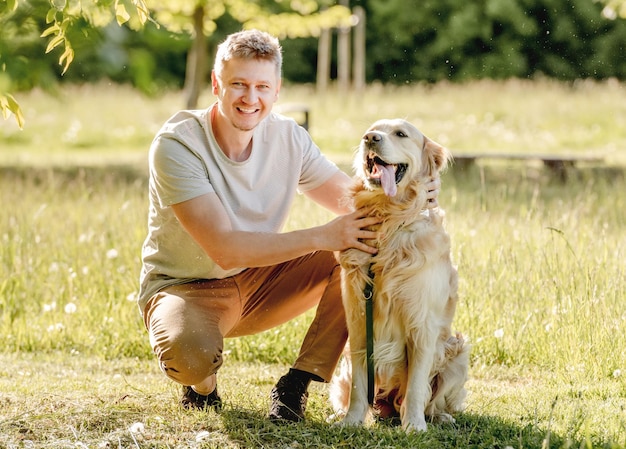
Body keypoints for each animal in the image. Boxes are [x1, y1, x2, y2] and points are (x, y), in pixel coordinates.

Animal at [332, 118, 468, 430]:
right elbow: (359, 386)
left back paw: (438, 416)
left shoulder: (422, 324)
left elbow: (417, 386)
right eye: (370, 130)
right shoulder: (358, 320)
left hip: (457, 350)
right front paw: (351, 420)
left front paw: (414, 426)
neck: (389, 222)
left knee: (434, 399)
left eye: (401, 134)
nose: (370, 138)